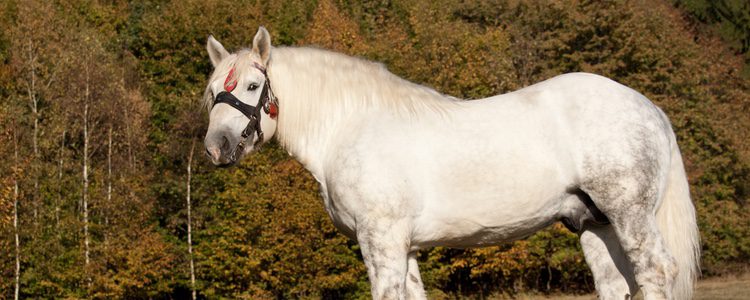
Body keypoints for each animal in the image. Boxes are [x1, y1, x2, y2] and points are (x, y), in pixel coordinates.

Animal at [203, 27, 704, 298]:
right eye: (211, 92)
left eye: (252, 86)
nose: (216, 147)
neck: (351, 125)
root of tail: (648, 108)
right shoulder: (404, 247)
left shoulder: (381, 239)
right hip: (594, 224)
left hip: (629, 214)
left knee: (657, 271)